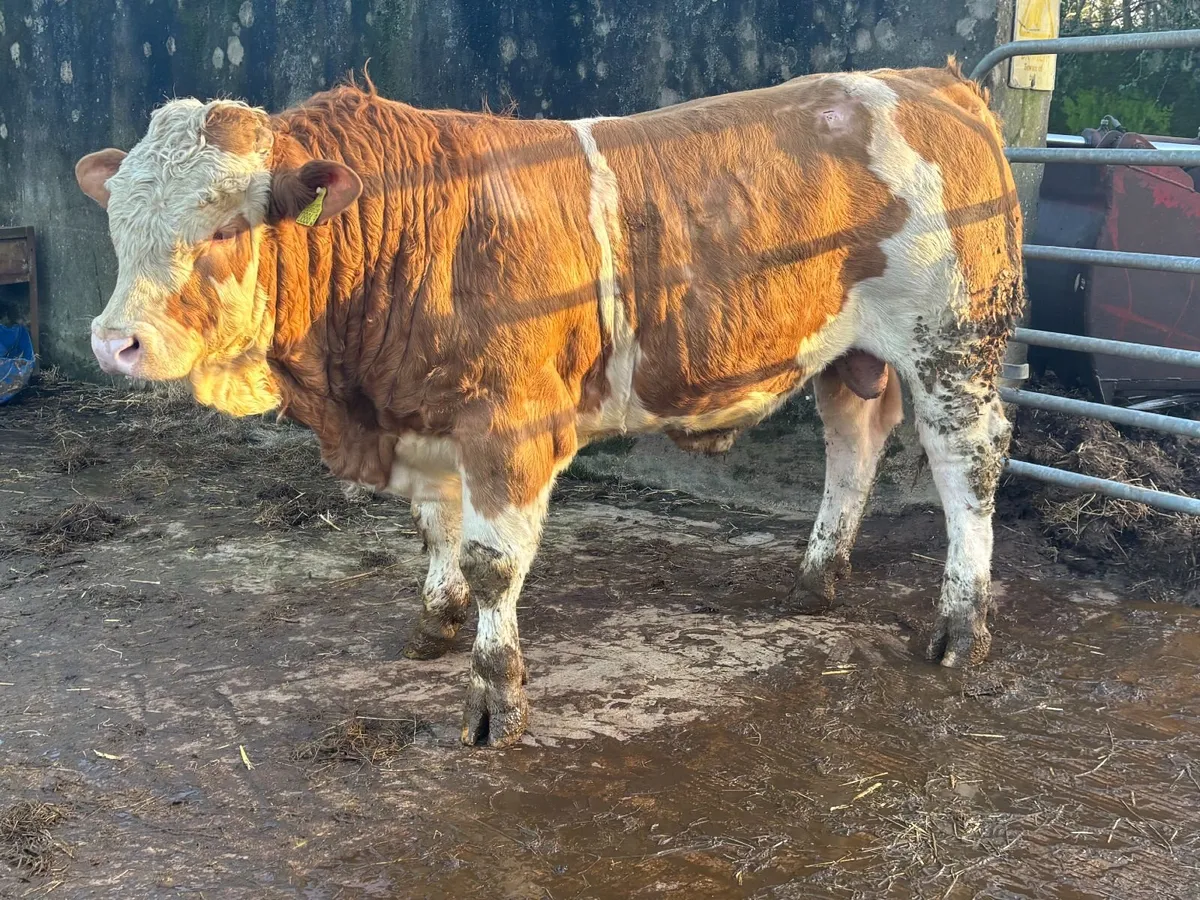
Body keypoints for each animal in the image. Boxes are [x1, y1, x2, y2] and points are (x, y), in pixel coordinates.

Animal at [75, 61, 1023, 748]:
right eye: (116, 225)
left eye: (224, 227)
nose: (114, 341)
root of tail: (932, 83)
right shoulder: (427, 416)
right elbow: (436, 531)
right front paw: (436, 621)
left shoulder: (507, 424)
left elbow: (495, 563)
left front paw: (495, 700)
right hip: (853, 352)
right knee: (853, 442)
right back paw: (818, 578)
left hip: (953, 341)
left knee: (966, 464)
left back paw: (960, 625)